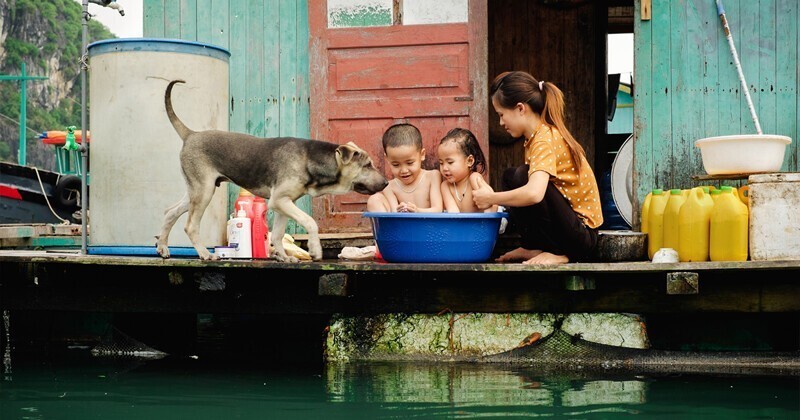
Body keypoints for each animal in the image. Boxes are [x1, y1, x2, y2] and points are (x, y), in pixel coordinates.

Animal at [155, 80, 388, 260]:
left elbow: (276, 235)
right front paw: (315, 249)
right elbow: (310, 222)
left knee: (169, 212)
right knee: (190, 225)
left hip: (196, 190)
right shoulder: (280, 200)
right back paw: (204, 253)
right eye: (367, 165)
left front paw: (284, 257)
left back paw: (163, 247)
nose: (386, 183)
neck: (311, 159)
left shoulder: (284, 204)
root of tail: (190, 134)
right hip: (203, 192)